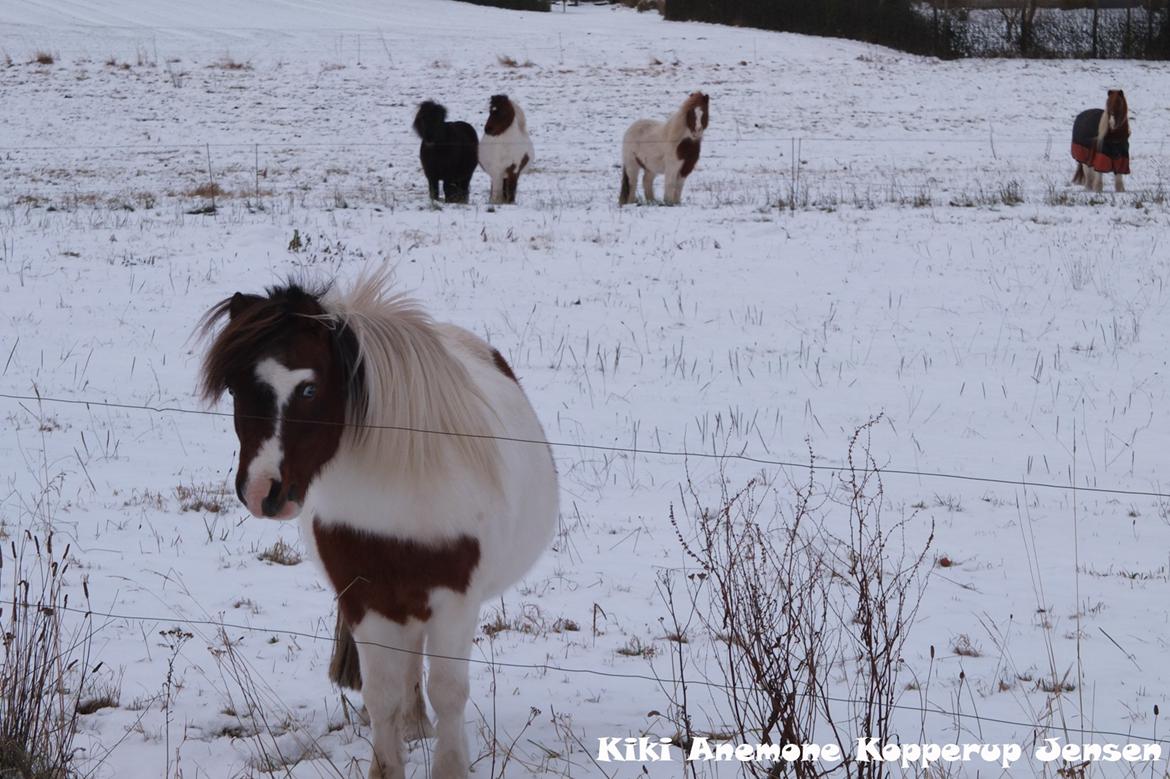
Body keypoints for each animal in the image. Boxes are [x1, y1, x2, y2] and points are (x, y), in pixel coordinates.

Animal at [200, 270, 556, 771]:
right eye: (234, 389)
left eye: (309, 389)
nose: (262, 492)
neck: (406, 492)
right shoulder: (364, 598)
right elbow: (382, 696)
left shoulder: (456, 601)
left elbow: (449, 693)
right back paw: (414, 724)